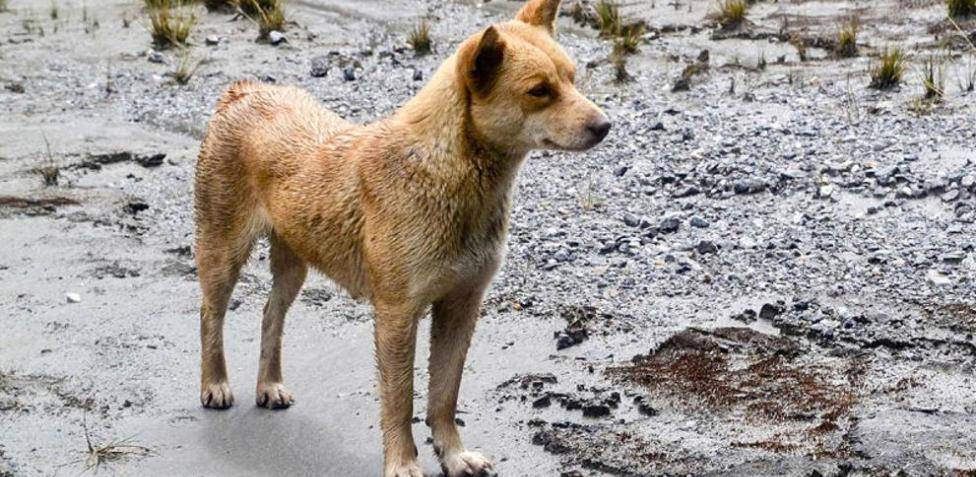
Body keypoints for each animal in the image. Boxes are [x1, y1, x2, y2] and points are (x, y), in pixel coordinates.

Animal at [193, 1, 608, 474]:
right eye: (539, 90)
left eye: (572, 77)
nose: (605, 125)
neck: (447, 174)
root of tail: (242, 92)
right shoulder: (396, 314)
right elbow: (399, 400)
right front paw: (403, 463)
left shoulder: (462, 306)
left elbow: (444, 397)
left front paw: (454, 455)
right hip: (222, 252)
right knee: (210, 314)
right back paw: (215, 383)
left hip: (295, 261)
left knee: (270, 314)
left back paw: (269, 384)